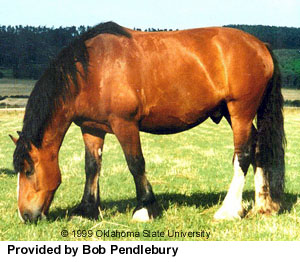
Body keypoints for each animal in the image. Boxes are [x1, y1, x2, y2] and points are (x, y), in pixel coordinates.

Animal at [9, 22, 286, 223]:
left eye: (29, 169)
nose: (25, 216)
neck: (93, 70)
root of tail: (260, 45)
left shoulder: (125, 125)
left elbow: (135, 163)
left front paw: (145, 208)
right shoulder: (91, 128)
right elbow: (92, 167)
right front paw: (86, 210)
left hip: (240, 112)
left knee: (243, 154)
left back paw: (229, 210)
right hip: (233, 113)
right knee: (258, 148)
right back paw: (263, 205)